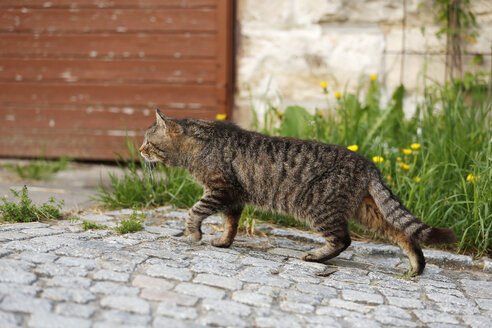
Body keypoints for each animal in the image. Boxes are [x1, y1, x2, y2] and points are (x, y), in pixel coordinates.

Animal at [140, 109, 456, 274]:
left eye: (148, 142)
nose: (140, 150)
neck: (199, 146)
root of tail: (367, 163)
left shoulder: (220, 190)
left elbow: (194, 211)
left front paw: (195, 234)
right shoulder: (233, 199)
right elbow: (231, 225)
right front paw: (223, 242)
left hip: (319, 208)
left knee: (343, 239)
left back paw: (315, 257)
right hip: (367, 211)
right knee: (402, 234)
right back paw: (416, 268)